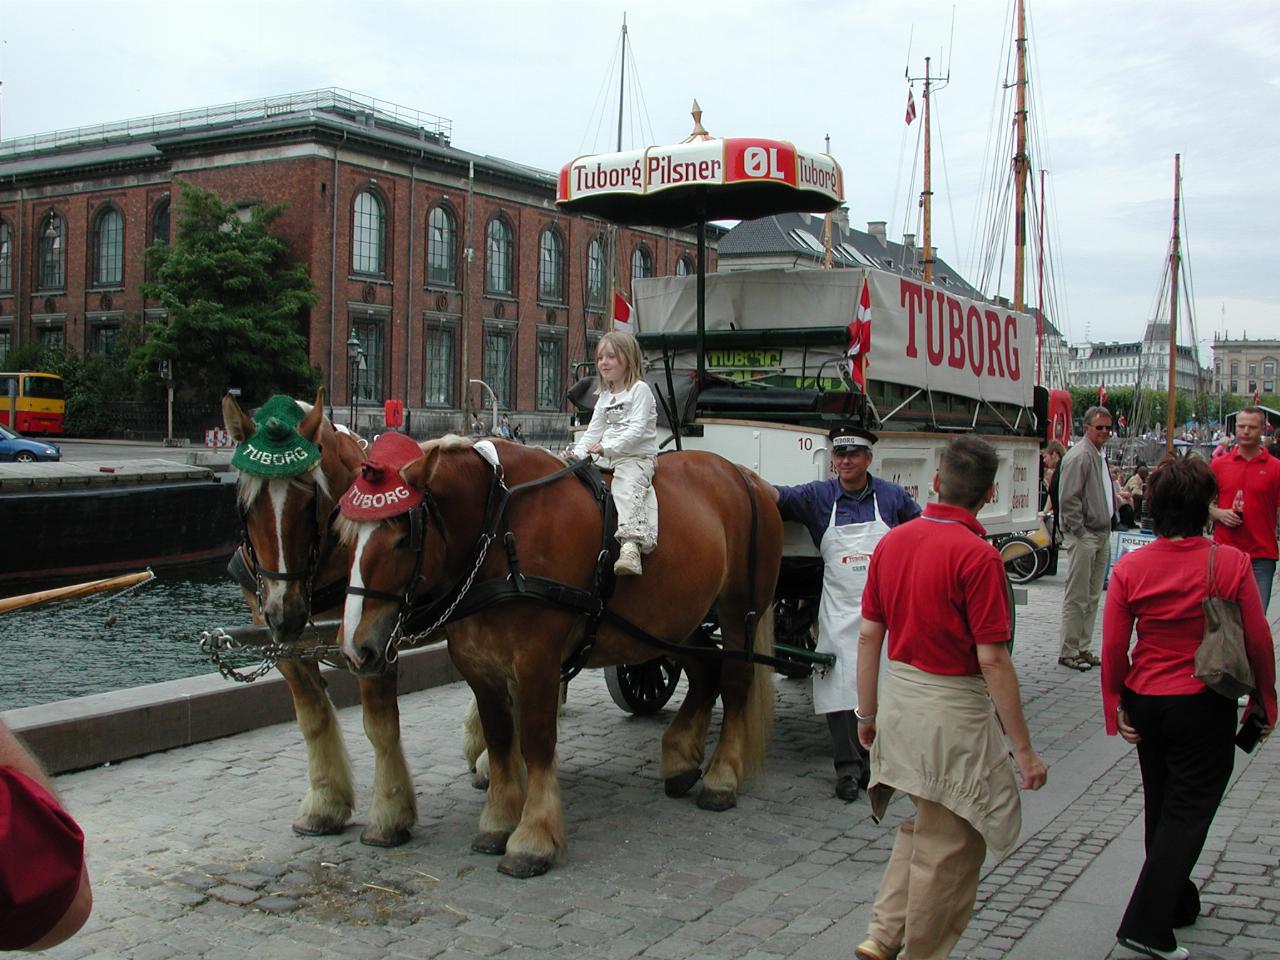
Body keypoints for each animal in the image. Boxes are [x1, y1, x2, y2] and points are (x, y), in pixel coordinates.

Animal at [221, 391, 414, 849]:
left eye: (310, 497)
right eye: (245, 504)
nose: (285, 611)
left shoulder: (374, 639)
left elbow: (380, 725)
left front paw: (389, 814)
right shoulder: (284, 648)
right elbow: (313, 718)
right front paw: (325, 803)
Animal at [335, 442, 778, 880]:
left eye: (403, 538)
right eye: (345, 538)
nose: (357, 649)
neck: (500, 535)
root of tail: (746, 476)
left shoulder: (537, 663)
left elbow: (536, 744)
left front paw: (532, 838)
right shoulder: (479, 667)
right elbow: (499, 741)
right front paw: (498, 821)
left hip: (738, 612)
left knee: (735, 683)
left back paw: (721, 779)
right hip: (676, 620)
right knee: (706, 672)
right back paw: (681, 760)